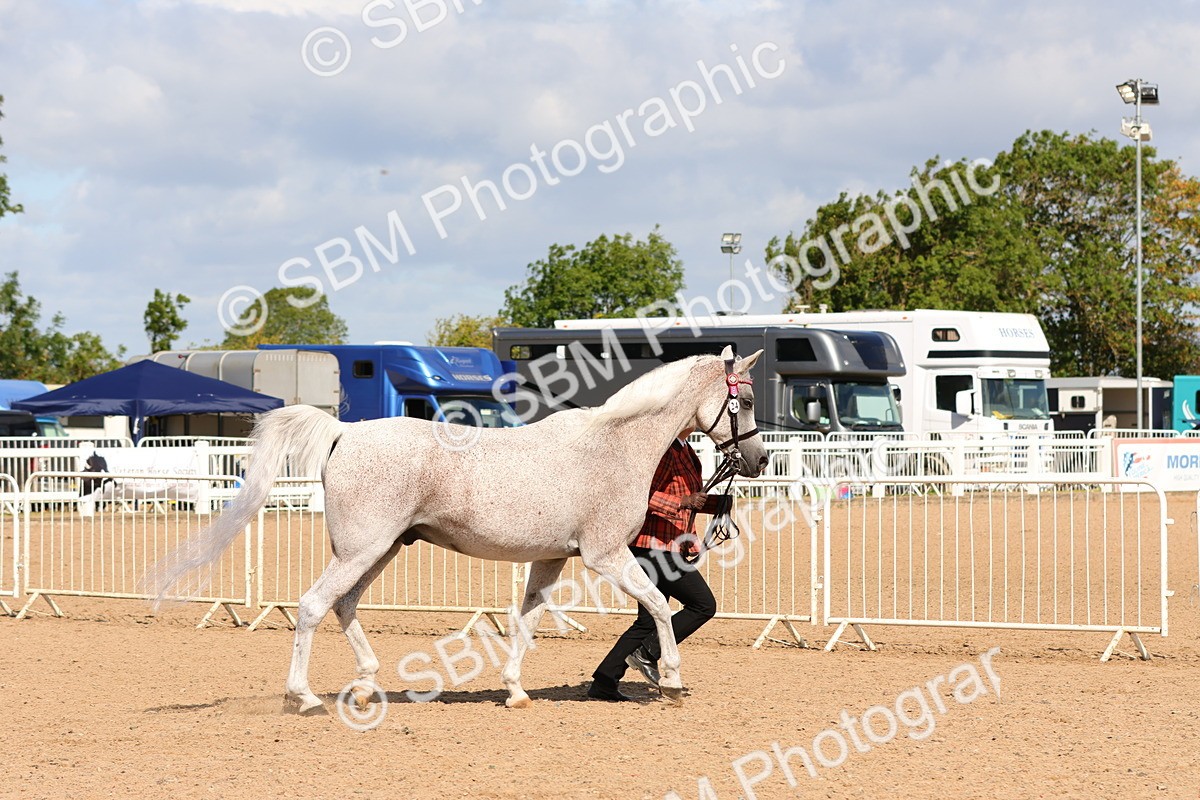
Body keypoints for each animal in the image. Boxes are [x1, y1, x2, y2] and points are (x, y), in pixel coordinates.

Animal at [151, 346, 768, 712]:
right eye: (746, 400)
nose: (759, 460)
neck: (613, 446)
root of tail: (344, 433)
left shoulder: (551, 558)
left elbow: (526, 621)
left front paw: (516, 692)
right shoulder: (606, 555)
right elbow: (660, 607)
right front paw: (671, 679)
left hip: (379, 550)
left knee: (344, 606)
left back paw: (366, 683)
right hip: (362, 550)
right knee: (311, 606)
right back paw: (303, 698)